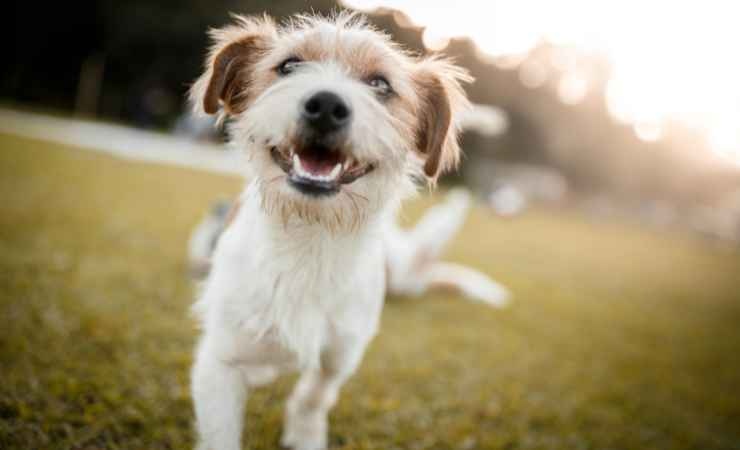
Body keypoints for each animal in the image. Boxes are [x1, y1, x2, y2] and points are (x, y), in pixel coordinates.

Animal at [188, 13, 506, 450]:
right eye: (289, 66)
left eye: (380, 84)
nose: (325, 105)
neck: (310, 237)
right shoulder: (219, 360)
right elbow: (222, 430)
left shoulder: (342, 350)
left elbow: (315, 394)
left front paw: (305, 434)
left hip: (399, 273)